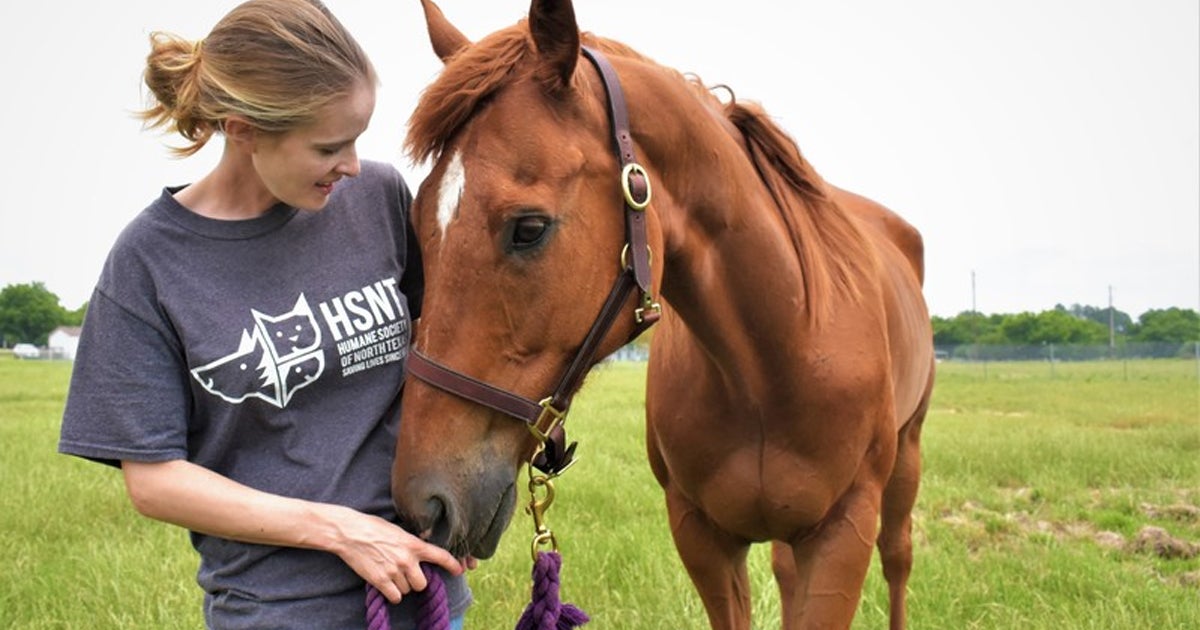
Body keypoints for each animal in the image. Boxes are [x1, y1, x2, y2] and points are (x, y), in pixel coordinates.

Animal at [391, 1, 935, 628]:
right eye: (418, 224)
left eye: (528, 228)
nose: (423, 506)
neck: (775, 360)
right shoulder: (702, 537)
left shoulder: (841, 534)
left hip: (905, 463)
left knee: (899, 559)